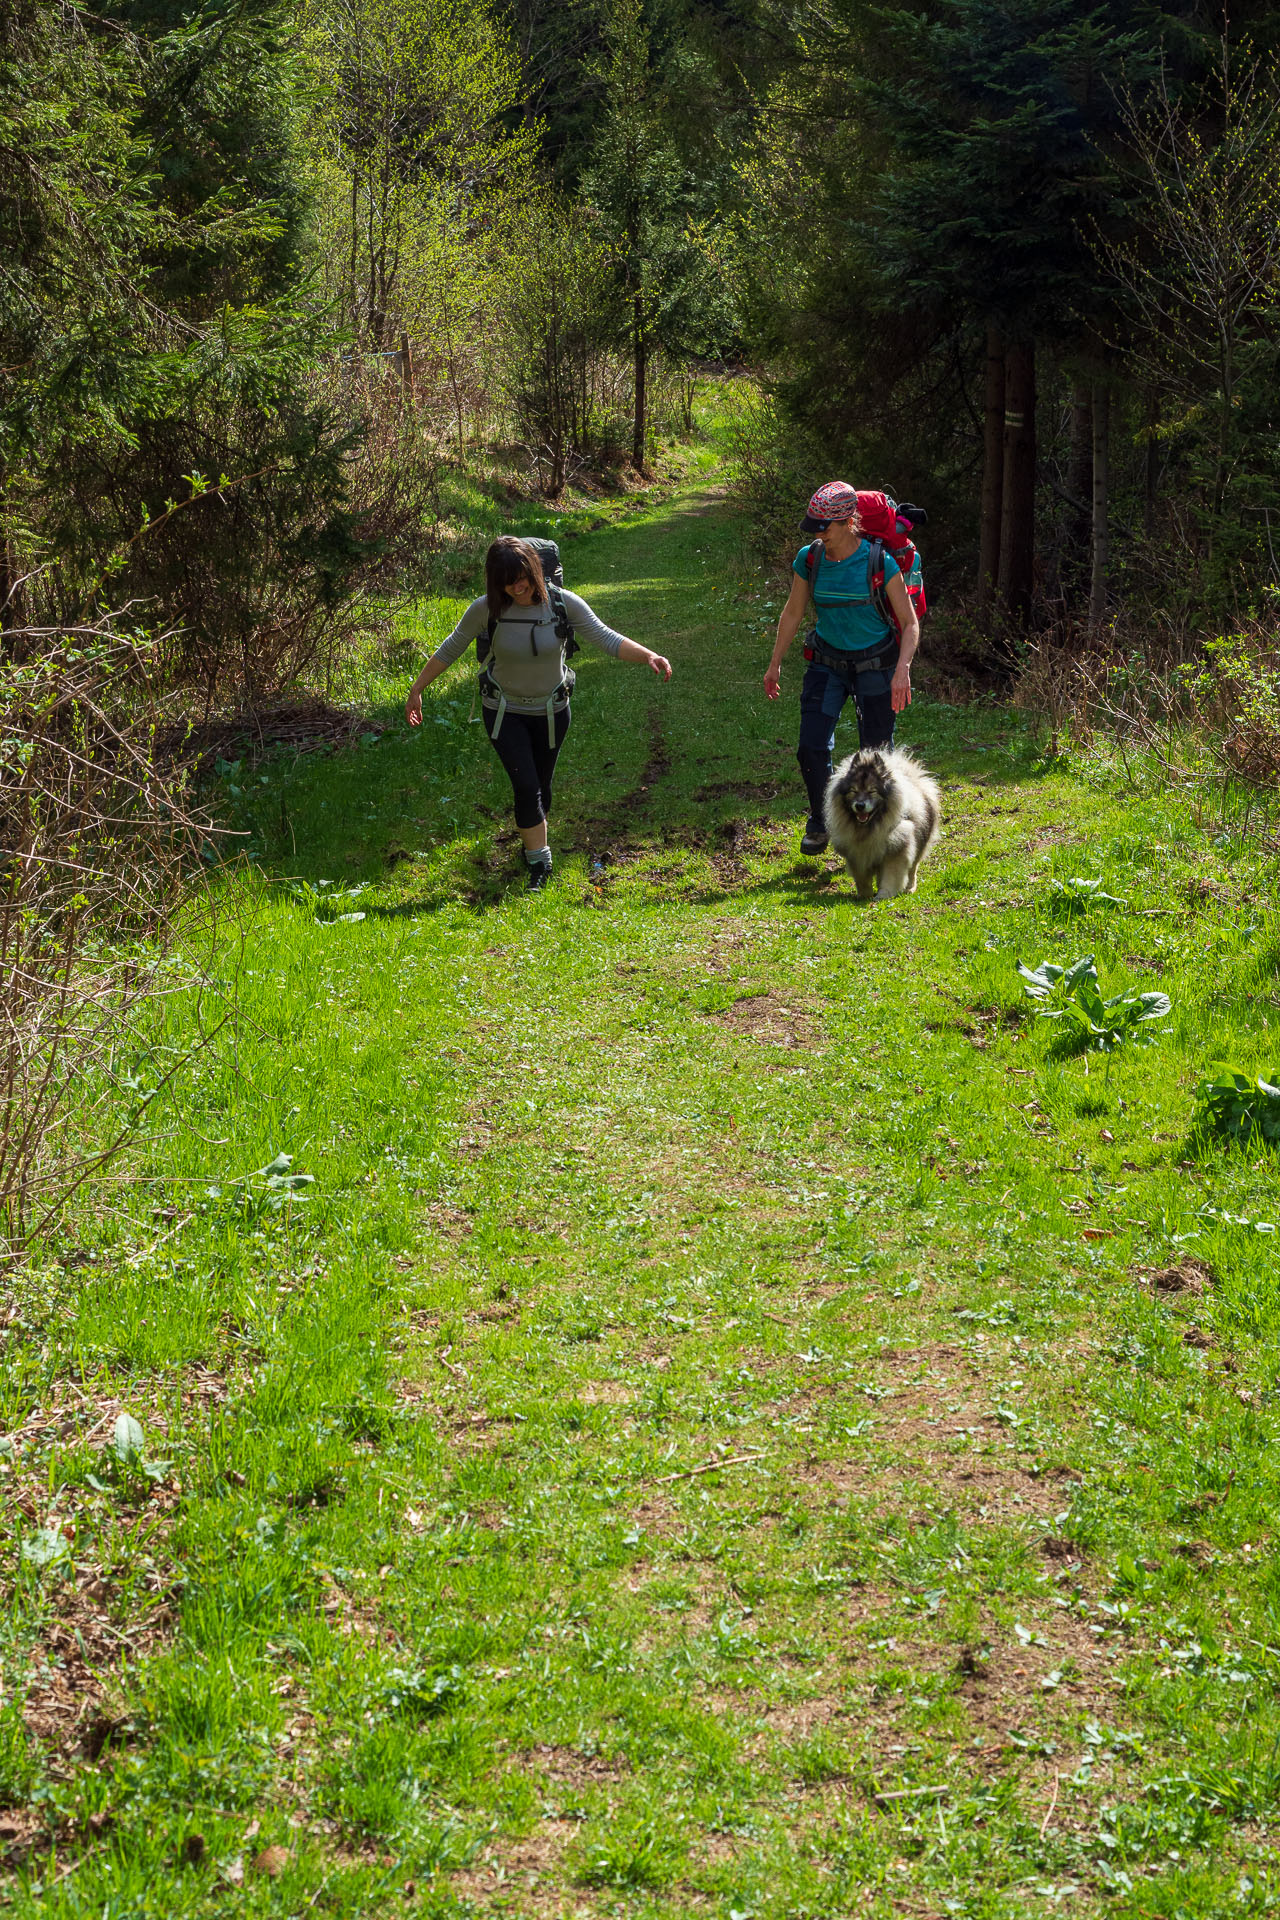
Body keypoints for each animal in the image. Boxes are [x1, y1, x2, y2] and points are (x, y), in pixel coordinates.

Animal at [821, 744, 940, 902]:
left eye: (872, 791)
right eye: (853, 791)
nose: (860, 805)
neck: (869, 828)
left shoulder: (896, 850)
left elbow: (891, 876)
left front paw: (884, 895)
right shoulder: (857, 855)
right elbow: (862, 880)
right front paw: (864, 896)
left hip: (920, 843)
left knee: (912, 869)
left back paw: (910, 888)